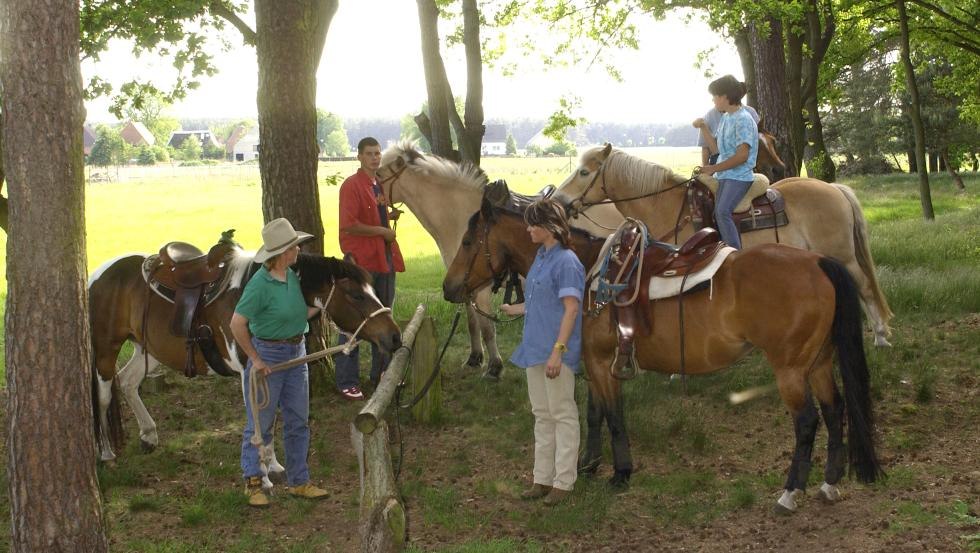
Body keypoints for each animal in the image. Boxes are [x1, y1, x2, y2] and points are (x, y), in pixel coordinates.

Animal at [378, 141, 624, 380]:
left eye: (379, 173)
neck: (459, 215)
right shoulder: (465, 285)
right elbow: (472, 323)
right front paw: (475, 358)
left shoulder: (482, 288)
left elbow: (487, 328)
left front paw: (494, 367)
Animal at [440, 201, 884, 516]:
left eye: (467, 242)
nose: (448, 288)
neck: (587, 273)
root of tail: (818, 262)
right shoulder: (593, 364)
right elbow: (594, 415)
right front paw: (588, 465)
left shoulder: (603, 365)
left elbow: (614, 416)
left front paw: (620, 473)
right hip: (819, 363)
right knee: (835, 410)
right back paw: (828, 484)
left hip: (790, 370)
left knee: (808, 421)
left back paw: (791, 492)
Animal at [552, 144, 896, 348]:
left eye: (584, 171)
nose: (559, 201)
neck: (670, 206)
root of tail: (835, 189)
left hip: (844, 255)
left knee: (865, 286)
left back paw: (880, 336)